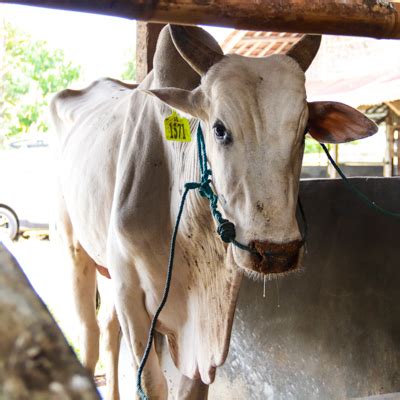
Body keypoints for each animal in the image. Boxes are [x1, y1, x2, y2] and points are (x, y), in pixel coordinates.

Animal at [51, 25, 376, 400]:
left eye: (303, 131)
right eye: (220, 129)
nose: (276, 253)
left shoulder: (206, 326)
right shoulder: (129, 291)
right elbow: (151, 383)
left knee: (107, 329)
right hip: (74, 249)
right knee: (89, 333)